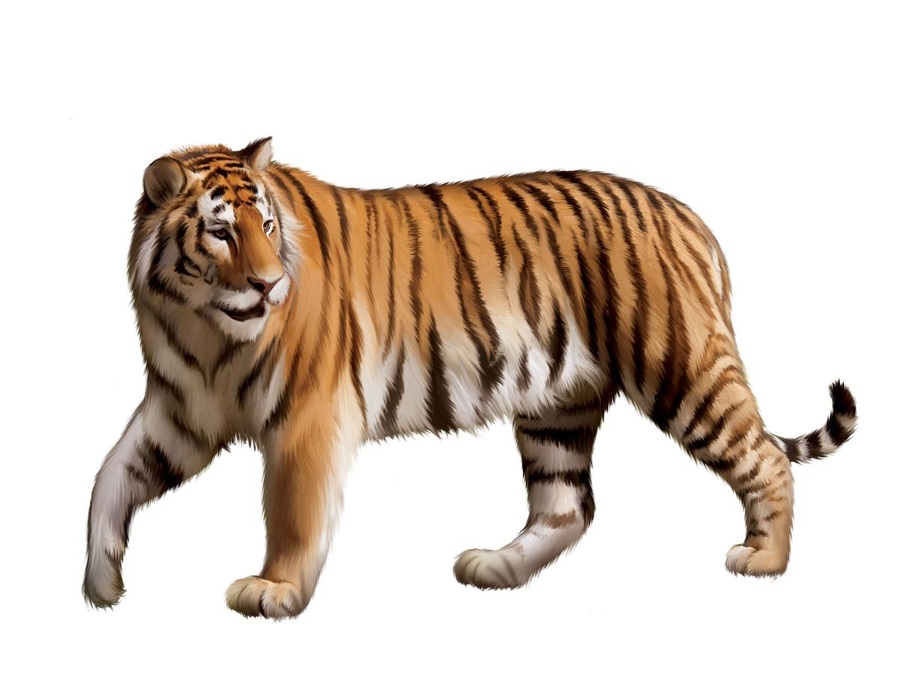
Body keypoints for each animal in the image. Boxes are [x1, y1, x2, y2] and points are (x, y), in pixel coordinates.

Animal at [83, 137, 857, 619]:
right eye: (220, 232)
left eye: (267, 227)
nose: (271, 286)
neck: (202, 327)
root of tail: (692, 219)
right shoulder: (181, 411)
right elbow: (112, 476)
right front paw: (101, 581)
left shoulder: (307, 414)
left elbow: (291, 509)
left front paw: (274, 590)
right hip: (557, 405)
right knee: (567, 505)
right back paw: (495, 567)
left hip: (682, 370)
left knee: (763, 459)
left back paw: (763, 558)